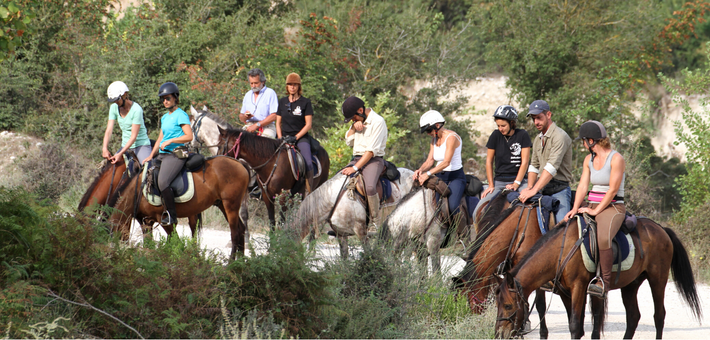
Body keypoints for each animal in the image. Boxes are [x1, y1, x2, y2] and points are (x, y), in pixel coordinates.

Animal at [105, 156, 250, 260]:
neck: (138, 191)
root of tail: (239, 163)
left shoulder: (164, 219)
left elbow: (176, 241)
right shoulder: (145, 221)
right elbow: (149, 244)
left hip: (230, 205)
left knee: (235, 233)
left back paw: (231, 262)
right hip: (223, 205)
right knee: (241, 229)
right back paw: (240, 262)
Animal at [492, 215, 704, 340]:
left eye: (508, 306)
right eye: (498, 304)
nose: (499, 334)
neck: (561, 250)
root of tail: (661, 229)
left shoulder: (579, 288)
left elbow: (575, 326)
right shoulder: (566, 294)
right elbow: (577, 325)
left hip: (657, 280)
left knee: (659, 316)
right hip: (631, 285)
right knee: (633, 317)